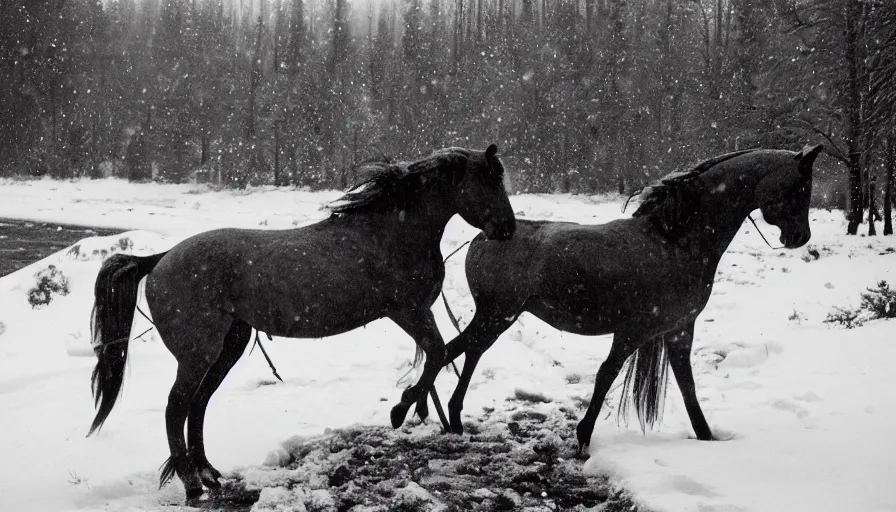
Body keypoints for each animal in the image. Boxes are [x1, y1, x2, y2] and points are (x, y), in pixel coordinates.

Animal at [89, 144, 520, 500]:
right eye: (488, 179)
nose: (508, 229)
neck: (393, 230)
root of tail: (159, 259)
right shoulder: (408, 311)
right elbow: (436, 354)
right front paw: (401, 410)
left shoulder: (416, 314)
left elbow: (437, 356)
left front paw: (418, 410)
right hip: (199, 353)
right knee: (176, 407)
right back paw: (193, 484)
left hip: (229, 346)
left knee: (198, 404)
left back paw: (210, 475)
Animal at [440, 143, 824, 452]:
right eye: (799, 187)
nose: (800, 237)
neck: (675, 241)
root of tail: (482, 237)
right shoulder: (634, 330)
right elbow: (606, 374)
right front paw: (583, 438)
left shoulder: (679, 330)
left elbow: (687, 386)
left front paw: (706, 438)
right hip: (497, 315)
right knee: (459, 351)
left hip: (495, 317)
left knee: (464, 351)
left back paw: (451, 417)